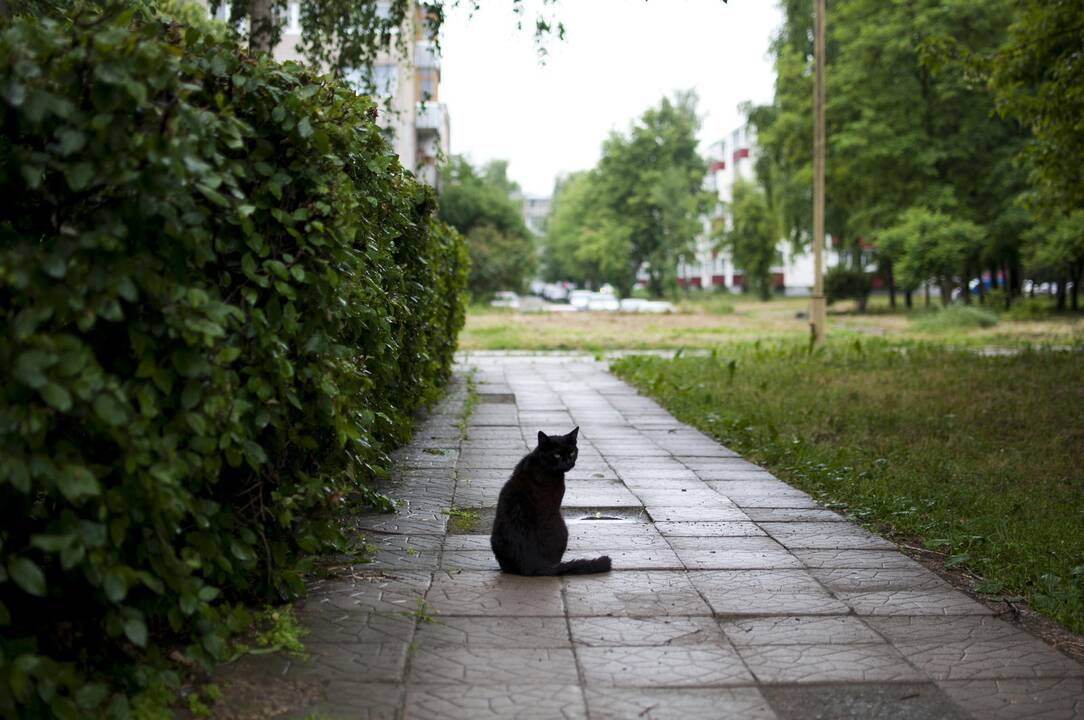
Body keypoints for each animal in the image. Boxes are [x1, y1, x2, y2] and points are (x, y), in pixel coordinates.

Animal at [489, 425, 611, 576]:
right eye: (557, 455)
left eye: (572, 452)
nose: (568, 462)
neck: (540, 463)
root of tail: (534, 565)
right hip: (563, 528)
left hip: (495, 539)